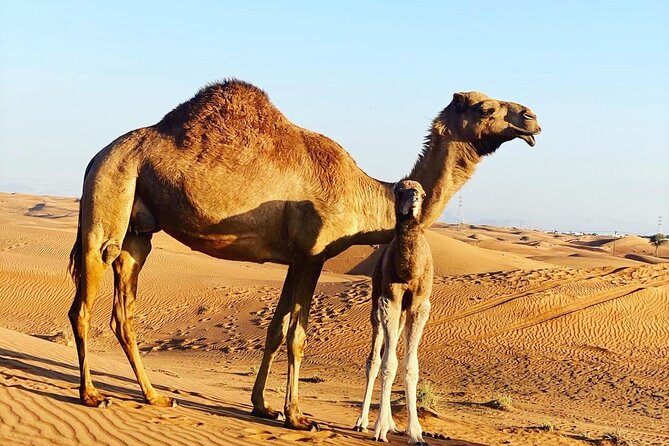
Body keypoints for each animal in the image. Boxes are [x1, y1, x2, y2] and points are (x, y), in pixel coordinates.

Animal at [353, 179, 433, 444]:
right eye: (399, 190)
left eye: (422, 193)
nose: (414, 199)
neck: (408, 270)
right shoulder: (390, 299)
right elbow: (388, 364)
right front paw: (379, 429)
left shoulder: (420, 305)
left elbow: (410, 366)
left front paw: (416, 433)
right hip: (377, 305)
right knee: (375, 360)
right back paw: (363, 422)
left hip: (399, 317)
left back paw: (391, 424)